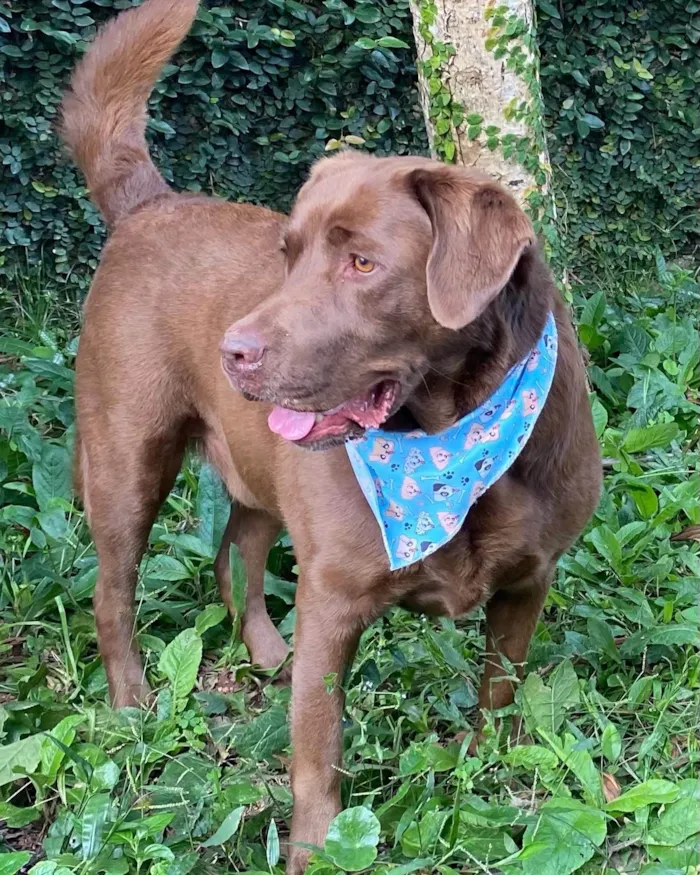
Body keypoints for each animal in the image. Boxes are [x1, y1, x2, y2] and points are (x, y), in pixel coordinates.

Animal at [60, 1, 600, 868]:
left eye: (362, 264)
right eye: (288, 253)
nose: (234, 351)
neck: (450, 439)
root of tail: (150, 205)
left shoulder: (529, 581)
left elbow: (500, 691)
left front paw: (483, 770)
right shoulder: (334, 597)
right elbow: (318, 751)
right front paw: (318, 848)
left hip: (258, 471)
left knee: (236, 551)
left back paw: (266, 653)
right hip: (125, 459)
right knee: (114, 594)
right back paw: (133, 701)